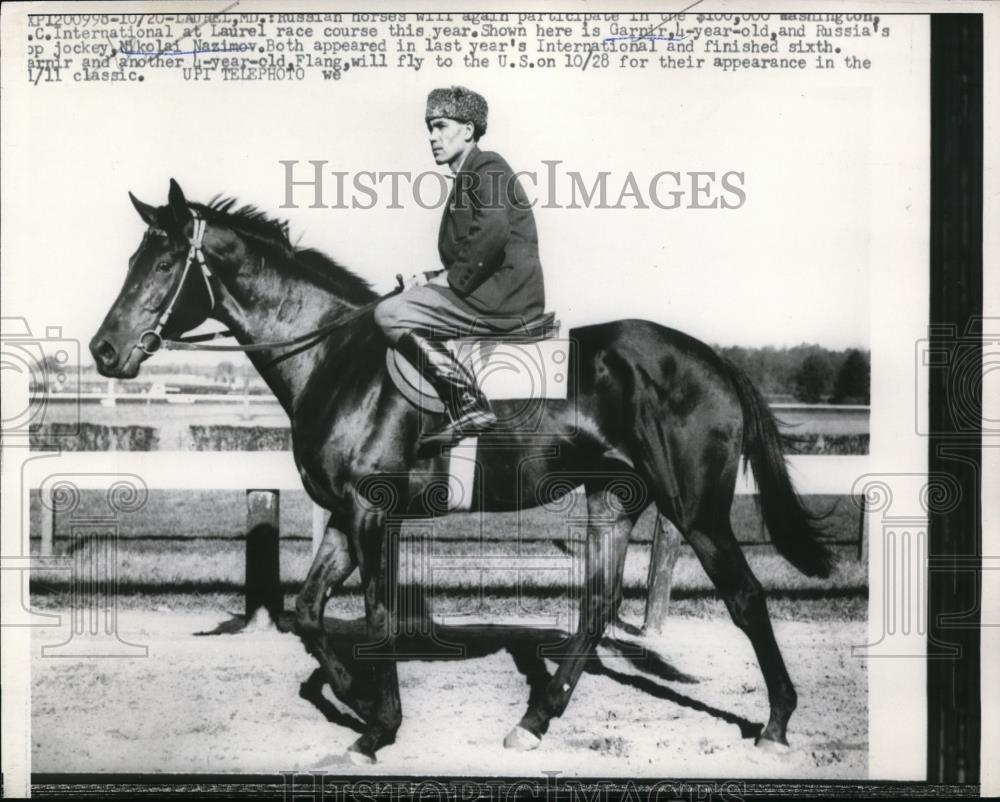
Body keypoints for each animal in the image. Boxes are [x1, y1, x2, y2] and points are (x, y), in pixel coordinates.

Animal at [90, 180, 832, 764]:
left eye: (163, 263)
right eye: (130, 259)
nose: (103, 350)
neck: (336, 358)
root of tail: (714, 357)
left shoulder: (372, 514)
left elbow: (379, 616)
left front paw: (377, 727)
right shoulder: (343, 516)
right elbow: (306, 613)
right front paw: (355, 697)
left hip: (697, 511)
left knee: (745, 599)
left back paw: (775, 725)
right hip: (614, 500)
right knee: (595, 609)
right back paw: (533, 721)